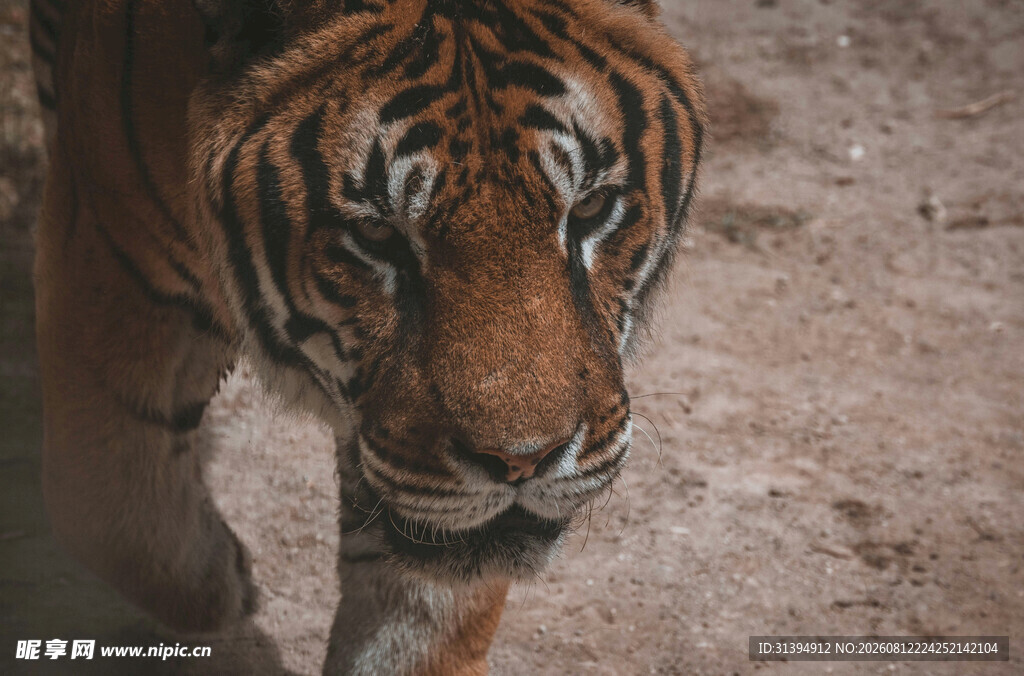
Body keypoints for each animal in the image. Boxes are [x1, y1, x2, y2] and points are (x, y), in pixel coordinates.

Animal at [30, 0, 704, 672]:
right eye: (378, 235)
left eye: (589, 209)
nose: (523, 462)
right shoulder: (115, 264)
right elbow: (117, 519)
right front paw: (230, 584)